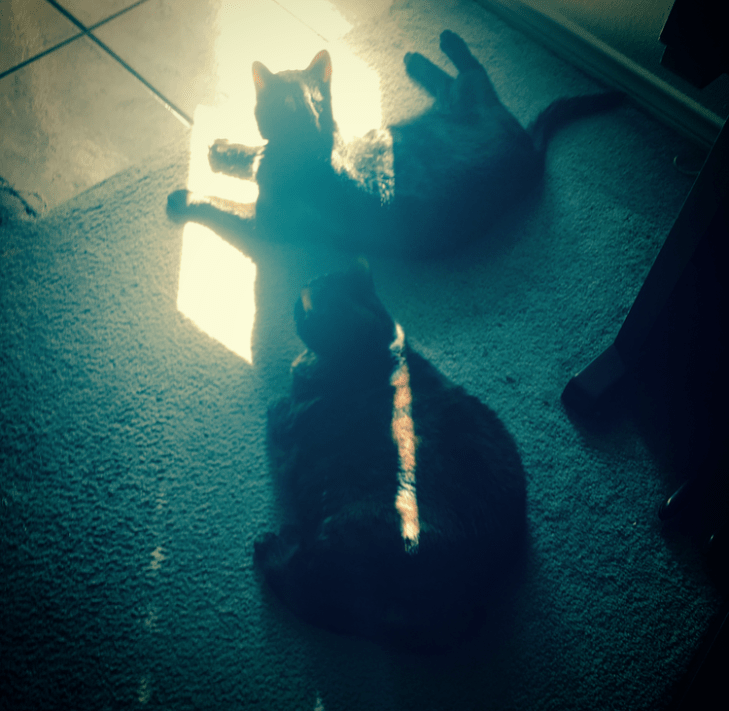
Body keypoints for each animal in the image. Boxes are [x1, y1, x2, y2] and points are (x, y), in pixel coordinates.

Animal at [167, 30, 623, 257]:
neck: (307, 147)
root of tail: (530, 149)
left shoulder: (262, 221)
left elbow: (219, 203)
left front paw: (183, 197)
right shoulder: (268, 161)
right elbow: (253, 156)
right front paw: (224, 149)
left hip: (467, 99)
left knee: (473, 70)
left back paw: (442, 42)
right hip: (447, 105)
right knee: (452, 79)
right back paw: (416, 59)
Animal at [254, 260, 528, 651]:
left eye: (302, 307)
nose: (292, 306)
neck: (372, 349)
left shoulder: (287, 427)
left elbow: (277, 410)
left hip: (344, 530)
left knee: (308, 590)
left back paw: (273, 548)